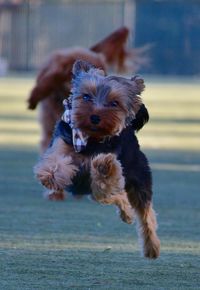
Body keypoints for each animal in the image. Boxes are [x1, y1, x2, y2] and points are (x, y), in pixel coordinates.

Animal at [33, 60, 160, 260]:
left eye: (114, 103)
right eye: (86, 96)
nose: (94, 117)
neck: (91, 139)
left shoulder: (109, 170)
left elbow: (107, 180)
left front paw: (103, 167)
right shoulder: (63, 141)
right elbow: (56, 160)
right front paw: (50, 175)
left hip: (139, 178)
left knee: (144, 213)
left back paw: (151, 247)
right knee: (117, 197)